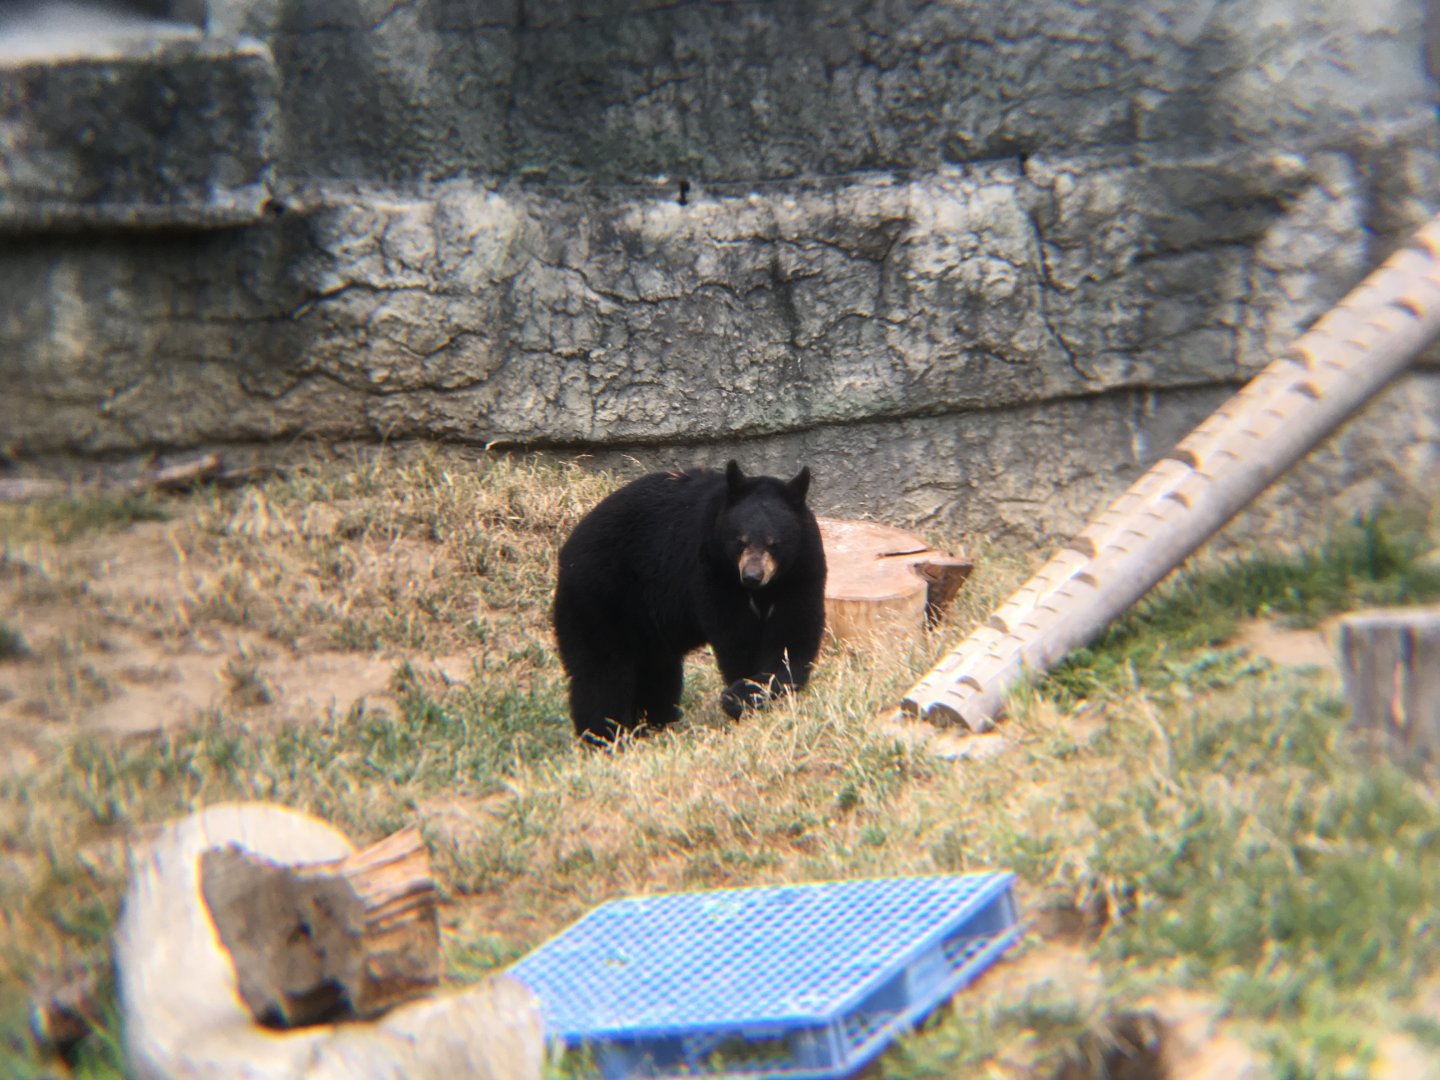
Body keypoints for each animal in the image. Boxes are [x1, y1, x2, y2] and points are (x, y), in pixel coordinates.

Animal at [552, 460, 827, 745]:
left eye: (774, 544)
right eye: (740, 541)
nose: (752, 576)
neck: (764, 590)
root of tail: (568, 549)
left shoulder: (801, 571)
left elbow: (792, 639)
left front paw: (749, 693)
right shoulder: (713, 568)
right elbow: (737, 638)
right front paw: (741, 695)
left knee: (657, 670)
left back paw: (655, 723)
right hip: (600, 596)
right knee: (602, 672)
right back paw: (604, 735)